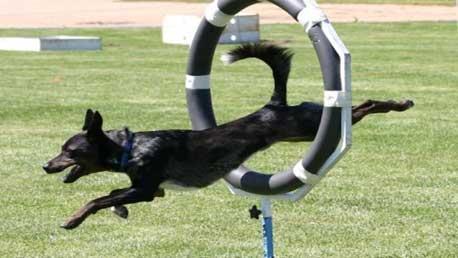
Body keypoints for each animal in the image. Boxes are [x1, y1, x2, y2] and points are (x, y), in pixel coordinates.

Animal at [43, 43, 416, 229]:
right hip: (300, 130)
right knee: (355, 109)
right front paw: (119, 211)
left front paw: (73, 220)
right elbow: (112, 194)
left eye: (69, 151)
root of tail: (273, 105)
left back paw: (399, 104)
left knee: (362, 106)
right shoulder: (151, 191)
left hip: (308, 124)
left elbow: (98, 198)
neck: (130, 148)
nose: (45, 166)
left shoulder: (145, 190)